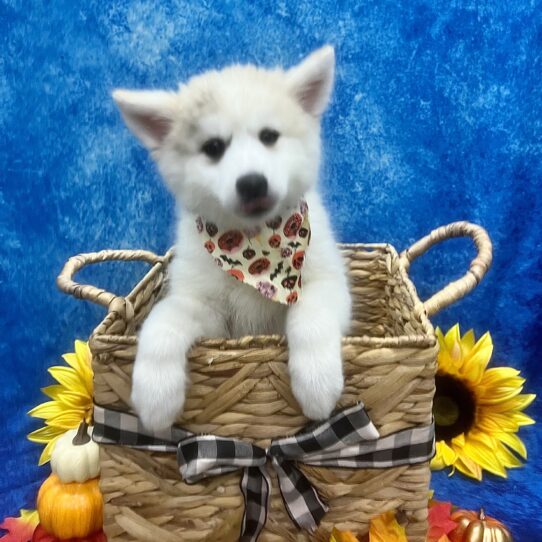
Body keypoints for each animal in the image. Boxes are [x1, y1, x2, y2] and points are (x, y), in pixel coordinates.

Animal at [115, 44, 352, 432]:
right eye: (213, 147)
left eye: (269, 136)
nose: (252, 183)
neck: (255, 251)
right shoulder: (207, 312)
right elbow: (162, 321)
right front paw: (155, 396)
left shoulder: (327, 283)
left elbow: (310, 318)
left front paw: (316, 382)